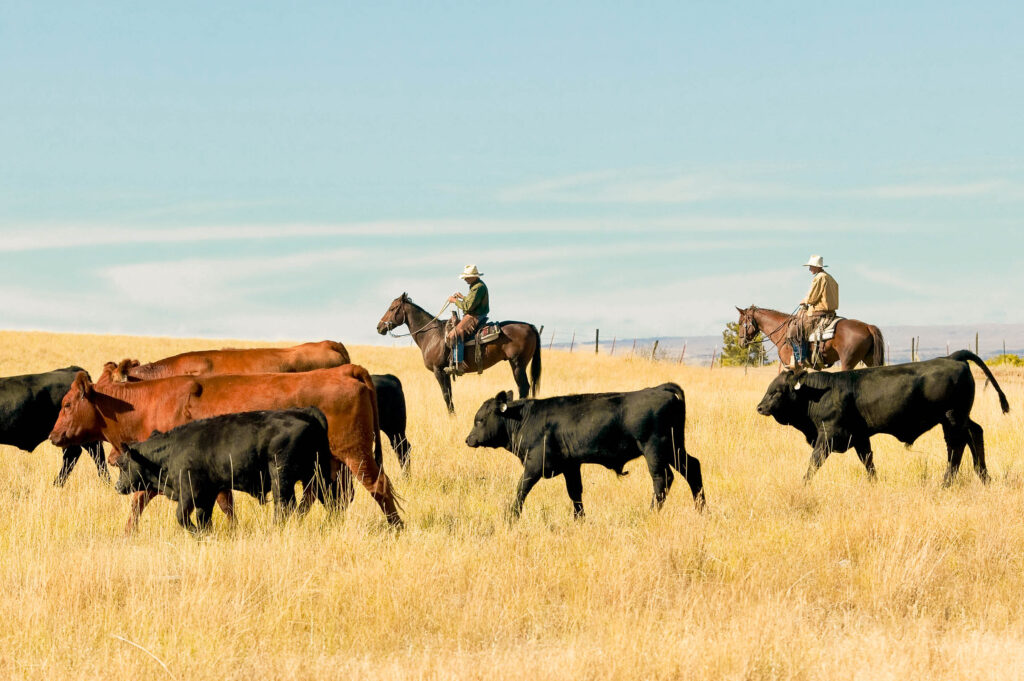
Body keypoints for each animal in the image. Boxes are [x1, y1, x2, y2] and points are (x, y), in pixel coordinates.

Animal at [114, 407, 334, 533]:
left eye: (123, 464)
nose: (117, 486)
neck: (173, 449)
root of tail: (306, 413)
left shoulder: (189, 493)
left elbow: (182, 517)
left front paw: (196, 533)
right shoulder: (207, 495)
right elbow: (204, 519)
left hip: (282, 477)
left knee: (284, 507)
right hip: (318, 475)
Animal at [464, 384, 705, 519]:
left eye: (480, 420)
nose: (468, 439)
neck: (525, 418)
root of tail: (661, 389)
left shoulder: (535, 465)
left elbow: (521, 489)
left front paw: (512, 516)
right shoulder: (571, 466)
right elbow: (575, 493)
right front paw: (579, 519)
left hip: (655, 449)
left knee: (661, 479)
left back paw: (652, 512)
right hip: (674, 448)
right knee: (692, 469)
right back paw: (702, 509)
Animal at [756, 350, 1010, 485]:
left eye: (776, 391)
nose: (760, 407)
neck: (821, 393)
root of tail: (952, 356)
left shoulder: (828, 436)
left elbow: (813, 462)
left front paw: (803, 484)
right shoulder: (860, 437)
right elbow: (868, 462)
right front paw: (875, 484)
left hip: (952, 418)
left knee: (956, 447)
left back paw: (947, 482)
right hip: (961, 417)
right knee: (975, 434)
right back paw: (983, 476)